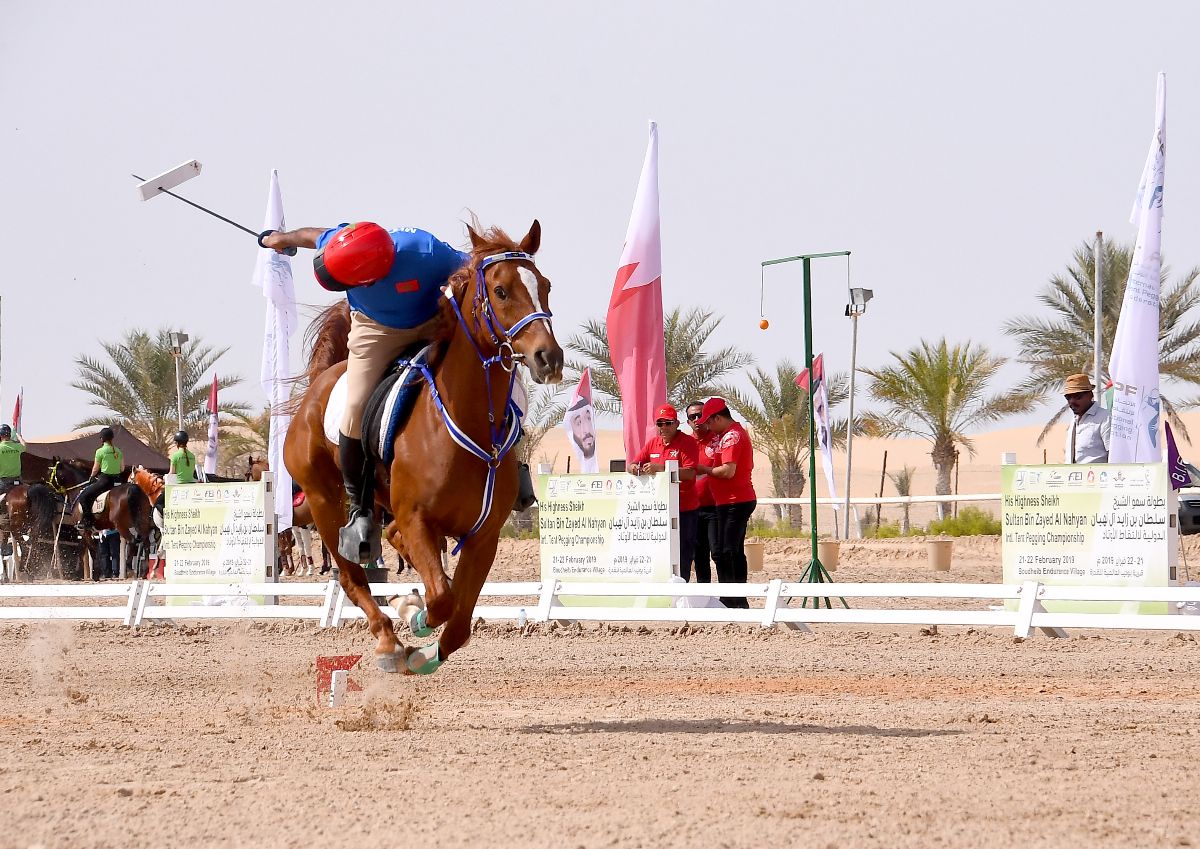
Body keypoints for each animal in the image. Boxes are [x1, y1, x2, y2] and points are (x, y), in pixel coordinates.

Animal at [284, 221, 561, 671]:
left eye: (545, 286)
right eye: (501, 291)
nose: (548, 358)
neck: (467, 420)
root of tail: (319, 385)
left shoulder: (483, 537)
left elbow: (459, 622)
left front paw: (425, 650)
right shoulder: (416, 518)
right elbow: (443, 600)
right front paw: (410, 616)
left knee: (392, 539)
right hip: (326, 506)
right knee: (352, 577)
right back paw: (387, 639)